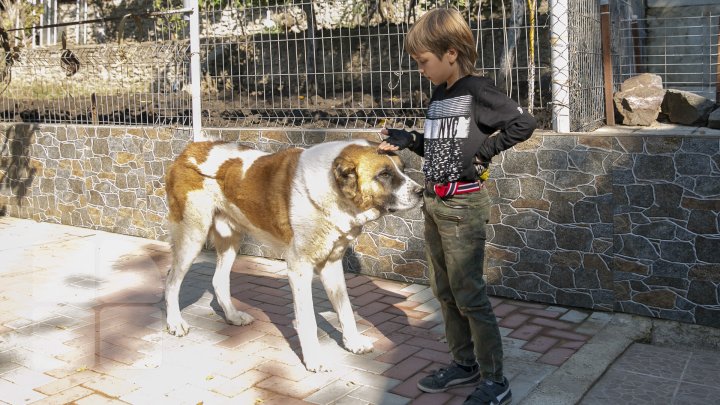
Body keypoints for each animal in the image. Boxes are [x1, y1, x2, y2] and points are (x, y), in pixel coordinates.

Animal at [165, 138, 422, 370]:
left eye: (402, 169)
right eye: (384, 174)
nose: (421, 191)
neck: (333, 190)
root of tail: (189, 149)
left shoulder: (332, 264)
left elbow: (346, 309)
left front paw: (353, 343)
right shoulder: (299, 269)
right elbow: (308, 320)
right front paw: (314, 360)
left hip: (230, 240)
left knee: (218, 280)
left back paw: (233, 316)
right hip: (192, 235)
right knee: (171, 281)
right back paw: (175, 323)